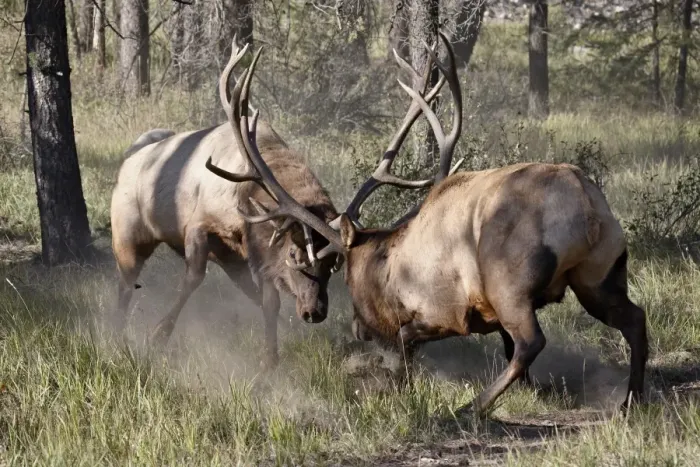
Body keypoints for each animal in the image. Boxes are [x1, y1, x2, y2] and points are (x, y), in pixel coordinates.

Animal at [110, 41, 345, 369]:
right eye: (294, 254)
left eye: (333, 264)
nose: (315, 312)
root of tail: (128, 159)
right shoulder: (199, 224)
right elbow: (193, 278)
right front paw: (158, 334)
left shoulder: (249, 252)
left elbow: (267, 301)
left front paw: (270, 358)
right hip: (127, 234)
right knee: (124, 284)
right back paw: (115, 335)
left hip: (227, 258)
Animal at [206, 31, 649, 415]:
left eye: (342, 273)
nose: (357, 329)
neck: (389, 263)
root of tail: (584, 205)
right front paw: (538, 391)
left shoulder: (447, 310)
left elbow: (408, 344)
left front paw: (400, 388)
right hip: (600, 274)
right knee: (635, 319)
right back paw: (630, 400)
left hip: (511, 283)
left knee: (531, 342)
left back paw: (472, 406)